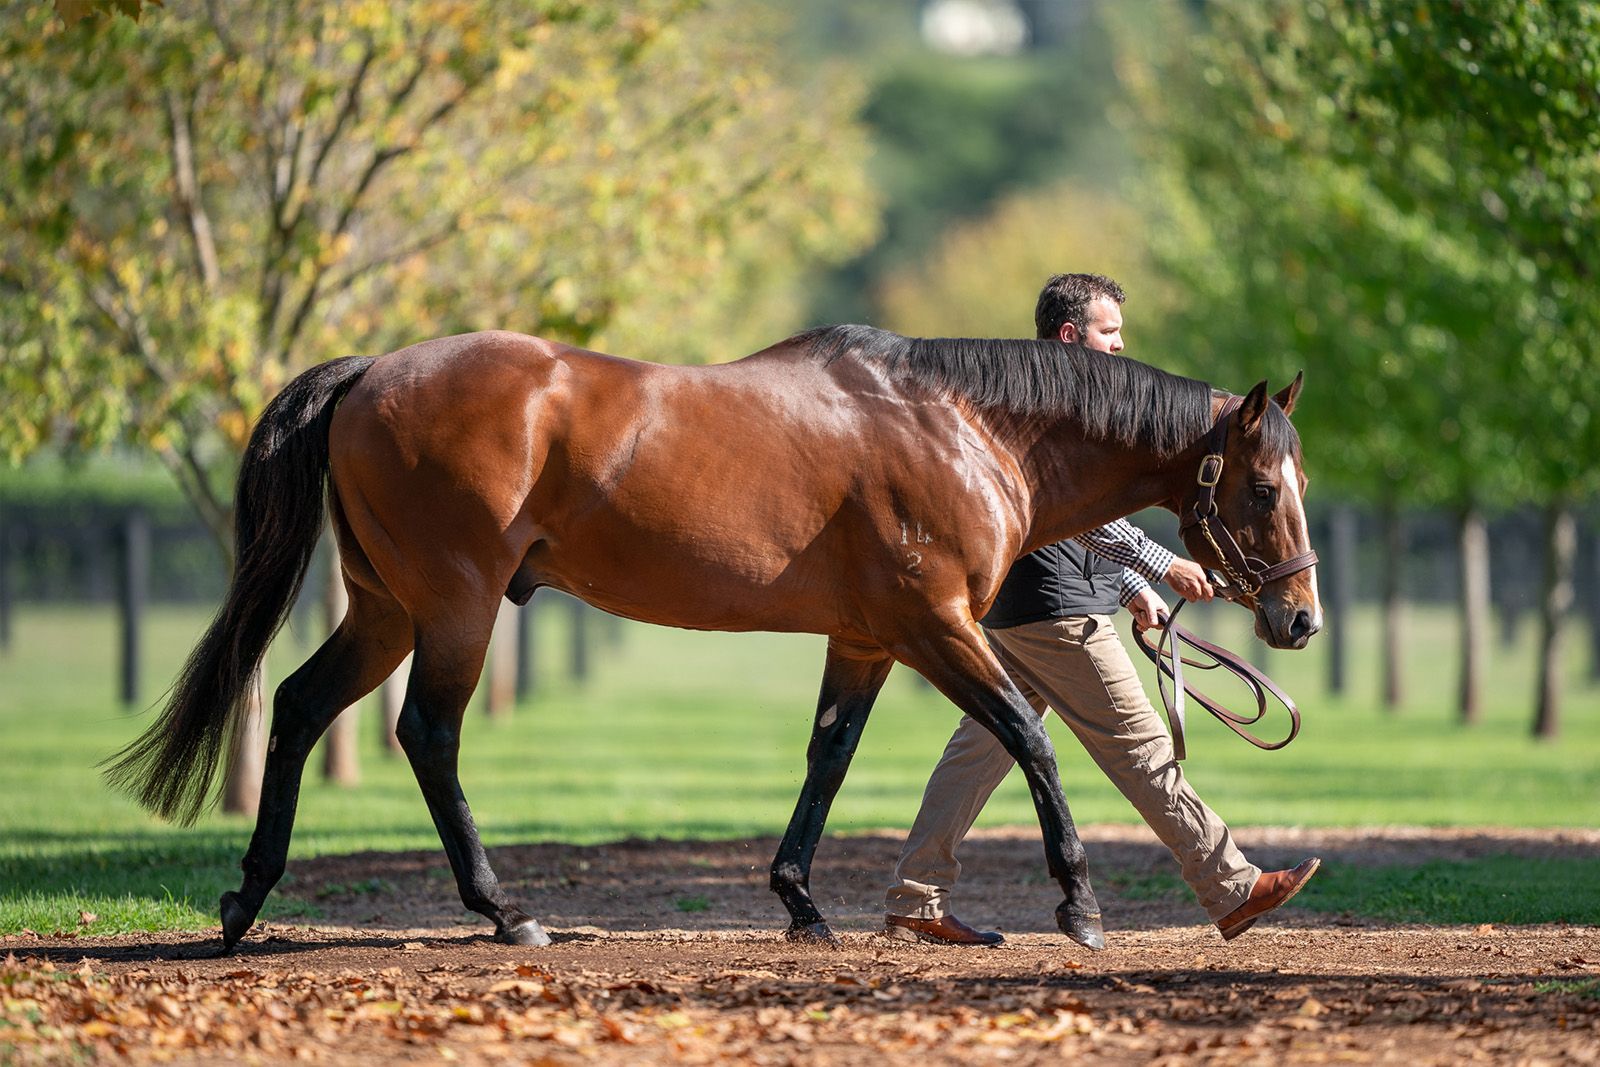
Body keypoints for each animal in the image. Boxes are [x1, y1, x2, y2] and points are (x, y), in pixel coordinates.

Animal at [105, 324, 1321, 953]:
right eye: (1263, 487)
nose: (1298, 617)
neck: (961, 424)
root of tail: (366, 373)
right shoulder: (935, 623)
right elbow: (1031, 734)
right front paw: (1077, 905)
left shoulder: (867, 638)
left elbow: (829, 757)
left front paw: (801, 901)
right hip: (452, 609)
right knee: (428, 736)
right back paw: (505, 912)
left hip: (386, 609)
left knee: (300, 707)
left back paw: (246, 901)